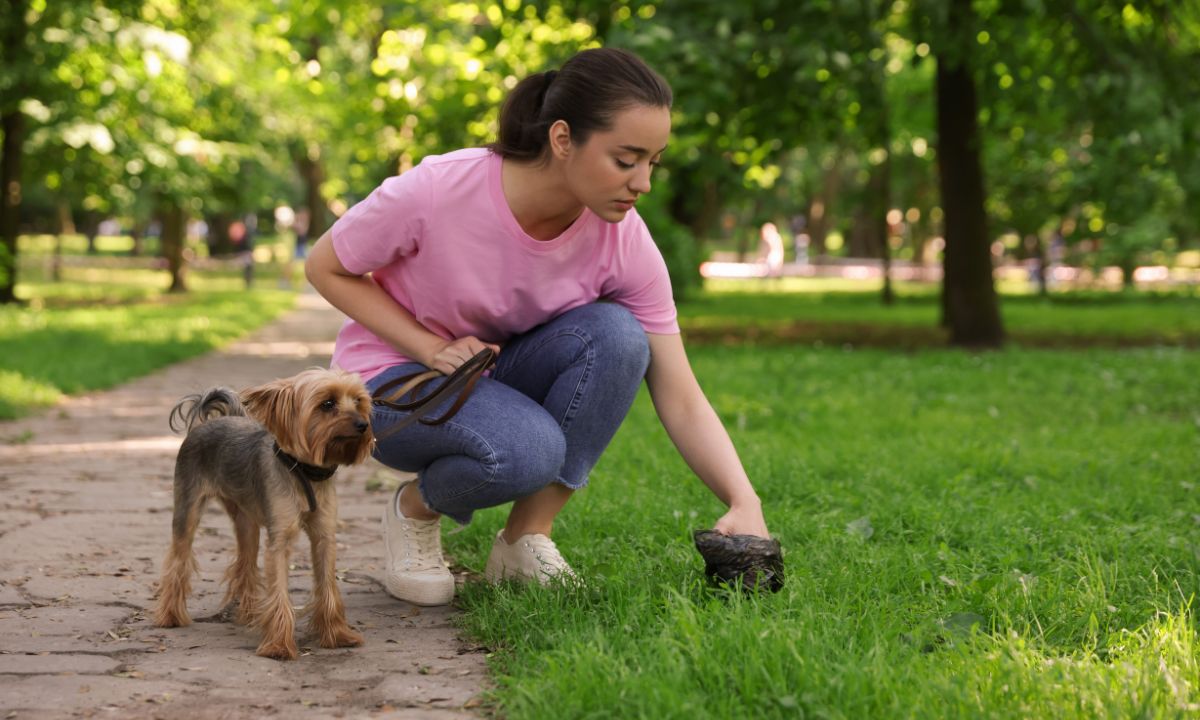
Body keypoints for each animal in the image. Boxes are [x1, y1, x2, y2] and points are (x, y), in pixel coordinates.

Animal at [152, 369, 372, 662]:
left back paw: (247, 614)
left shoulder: (324, 536)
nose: (363, 424)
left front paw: (337, 635)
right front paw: (279, 645)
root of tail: (211, 420)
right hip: (187, 509)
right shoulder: (279, 540)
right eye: (327, 404)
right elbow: (279, 590)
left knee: (245, 561)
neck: (303, 472)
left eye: (358, 402)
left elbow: (327, 585)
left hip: (246, 520)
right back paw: (170, 616)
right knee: (178, 559)